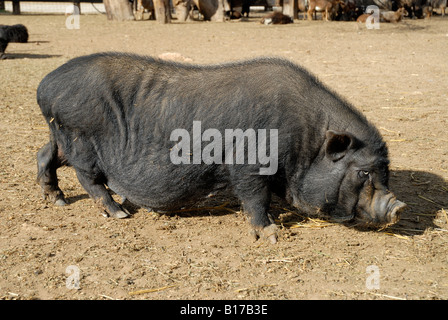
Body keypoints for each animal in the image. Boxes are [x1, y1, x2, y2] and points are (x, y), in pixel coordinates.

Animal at [36, 53, 406, 242]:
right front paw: (271, 234)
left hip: (61, 135)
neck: (307, 142)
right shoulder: (248, 165)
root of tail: (44, 85)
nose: (398, 207)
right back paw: (118, 212)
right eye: (363, 172)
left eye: (386, 170)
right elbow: (255, 197)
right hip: (80, 136)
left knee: (44, 155)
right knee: (89, 178)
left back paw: (57, 200)